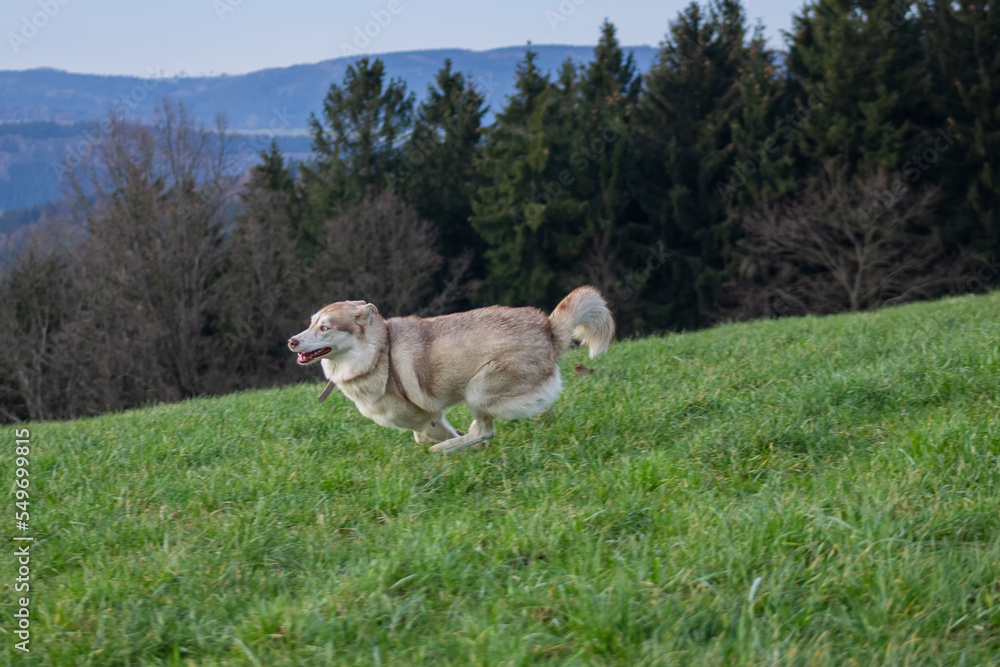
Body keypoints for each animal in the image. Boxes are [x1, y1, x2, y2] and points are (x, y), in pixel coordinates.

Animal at [290, 288, 612, 454]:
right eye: (311, 322)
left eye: (325, 328)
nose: (291, 341)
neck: (379, 354)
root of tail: (548, 329)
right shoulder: (428, 419)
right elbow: (430, 435)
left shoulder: (427, 418)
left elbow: (428, 435)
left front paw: (454, 445)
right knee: (481, 429)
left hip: (477, 389)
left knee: (484, 430)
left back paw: (444, 450)